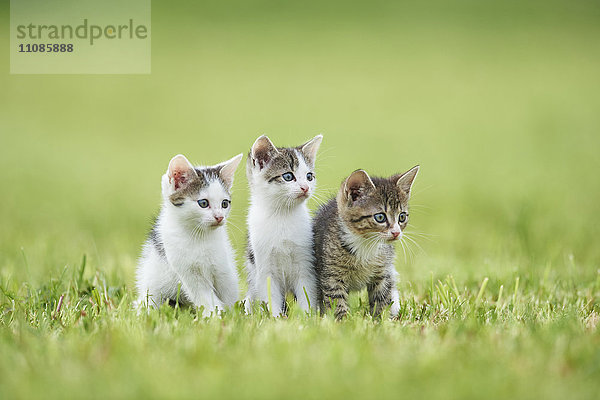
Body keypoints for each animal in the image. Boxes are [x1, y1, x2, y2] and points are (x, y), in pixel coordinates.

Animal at [137, 153, 243, 316]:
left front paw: (234, 316)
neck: (200, 237)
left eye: (225, 203)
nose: (219, 217)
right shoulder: (187, 272)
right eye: (203, 203)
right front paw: (214, 316)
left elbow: (228, 292)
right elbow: (205, 296)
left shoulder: (224, 267)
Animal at [244, 136, 324, 318]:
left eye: (309, 176)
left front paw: (307, 318)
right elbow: (270, 297)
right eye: (288, 176)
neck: (282, 216)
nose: (305, 188)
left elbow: (306, 293)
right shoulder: (264, 269)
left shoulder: (306, 264)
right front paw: (275, 319)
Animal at [314, 165, 418, 318]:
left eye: (402, 217)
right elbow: (336, 300)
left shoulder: (383, 272)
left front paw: (382, 319)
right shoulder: (331, 274)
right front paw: (342, 321)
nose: (396, 232)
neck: (366, 243)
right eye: (380, 217)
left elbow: (382, 298)